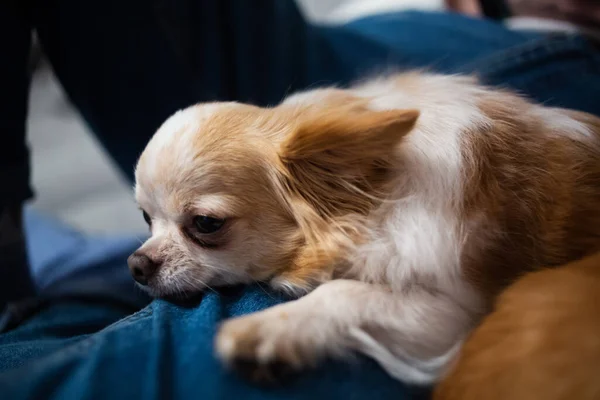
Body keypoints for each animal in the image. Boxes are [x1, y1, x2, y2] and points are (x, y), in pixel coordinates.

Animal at [129, 72, 600, 388]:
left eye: (206, 225)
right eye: (145, 218)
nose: (136, 264)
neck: (378, 192)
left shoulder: (454, 315)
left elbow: (342, 292)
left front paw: (268, 330)